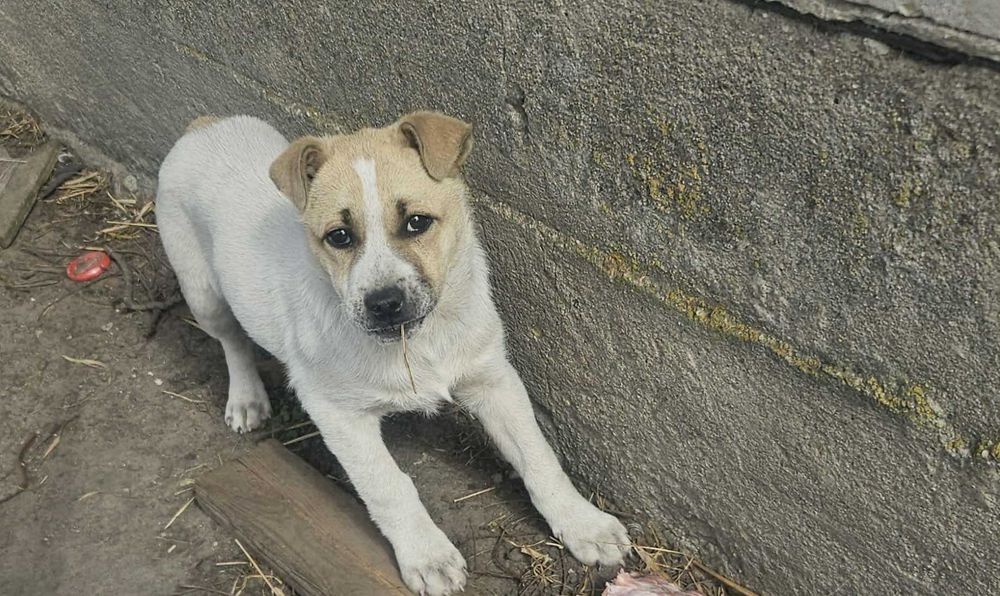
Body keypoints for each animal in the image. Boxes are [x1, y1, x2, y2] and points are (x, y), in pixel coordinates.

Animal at [156, 112, 630, 595]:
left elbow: (538, 456)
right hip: (201, 289)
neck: (416, 340)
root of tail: (206, 124)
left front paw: (583, 525)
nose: (383, 303)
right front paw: (428, 555)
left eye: (417, 223)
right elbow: (388, 486)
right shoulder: (336, 411)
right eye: (339, 236)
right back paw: (246, 399)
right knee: (231, 341)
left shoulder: (491, 377)